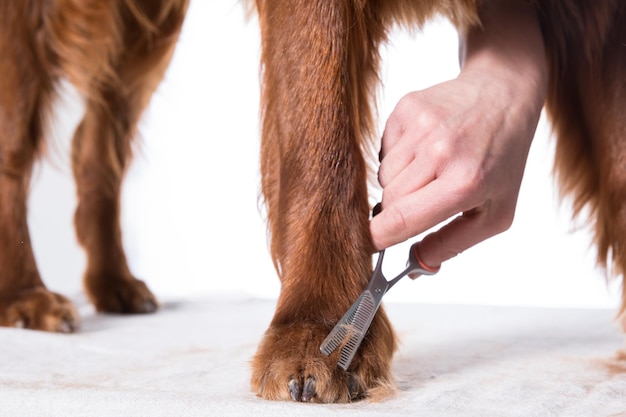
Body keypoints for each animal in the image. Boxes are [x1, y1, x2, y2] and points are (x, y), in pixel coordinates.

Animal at [0, 0, 620, 404]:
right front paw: (315, 326)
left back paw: (113, 282)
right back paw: (24, 293)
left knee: (94, 143)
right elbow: (320, 142)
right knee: (17, 145)